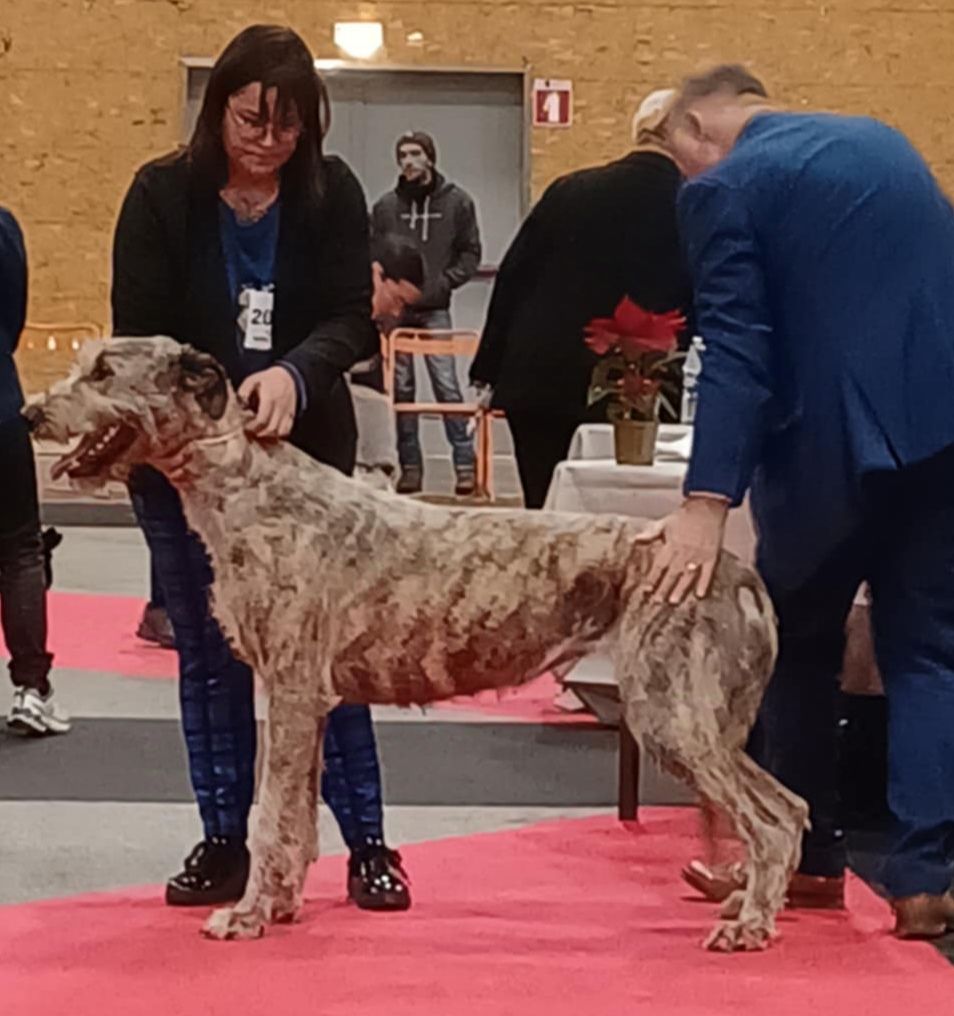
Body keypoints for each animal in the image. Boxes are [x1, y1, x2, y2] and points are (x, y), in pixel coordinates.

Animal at [27, 339, 804, 950]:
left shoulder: (291, 691)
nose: (31, 413)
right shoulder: (308, 703)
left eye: (104, 371)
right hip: (702, 720)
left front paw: (246, 916)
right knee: (790, 807)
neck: (251, 490)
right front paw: (281, 905)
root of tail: (734, 570)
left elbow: (269, 815)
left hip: (670, 715)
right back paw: (748, 901)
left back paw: (749, 925)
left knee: (769, 820)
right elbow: (298, 816)